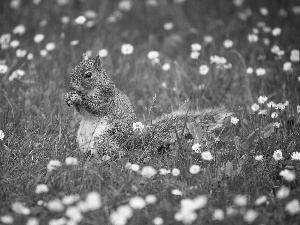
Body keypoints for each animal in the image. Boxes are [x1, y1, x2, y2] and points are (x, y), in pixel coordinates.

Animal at [63, 55, 232, 161]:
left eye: (88, 75)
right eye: (72, 72)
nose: (71, 86)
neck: (93, 88)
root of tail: (131, 145)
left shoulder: (106, 97)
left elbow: (95, 106)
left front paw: (79, 99)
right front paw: (68, 97)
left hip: (103, 139)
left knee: (115, 155)